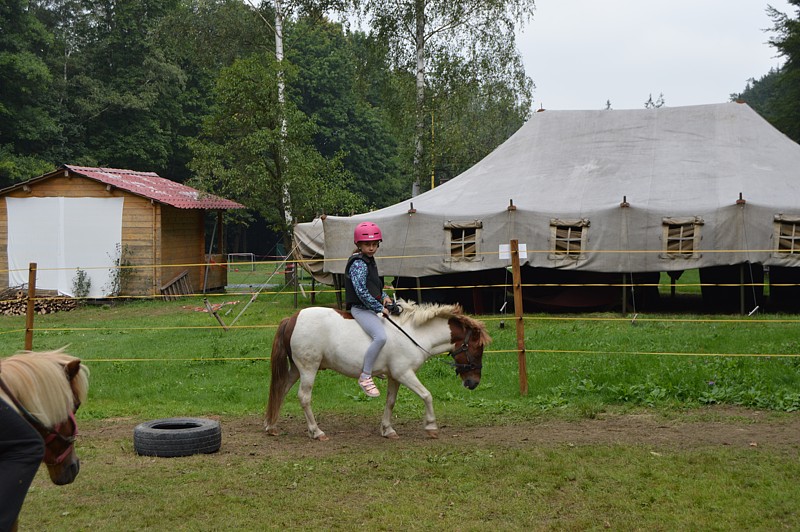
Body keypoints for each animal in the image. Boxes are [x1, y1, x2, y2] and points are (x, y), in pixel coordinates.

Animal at [266, 302, 490, 442]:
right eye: (477, 349)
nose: (473, 383)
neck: (416, 334)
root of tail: (292, 318)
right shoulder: (404, 374)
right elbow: (427, 395)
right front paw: (431, 427)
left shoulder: (394, 377)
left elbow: (390, 402)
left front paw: (387, 430)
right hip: (308, 368)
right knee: (304, 397)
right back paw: (316, 432)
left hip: (297, 369)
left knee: (281, 391)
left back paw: (271, 426)